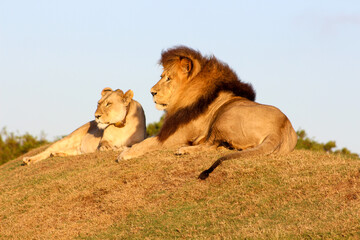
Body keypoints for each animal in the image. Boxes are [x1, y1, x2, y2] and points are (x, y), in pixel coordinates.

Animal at [119, 46, 298, 179]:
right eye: (162, 76)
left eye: (168, 78)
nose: (152, 92)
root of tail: (278, 129)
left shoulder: (177, 136)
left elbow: (147, 143)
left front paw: (125, 154)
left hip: (225, 117)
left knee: (211, 146)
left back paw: (185, 150)